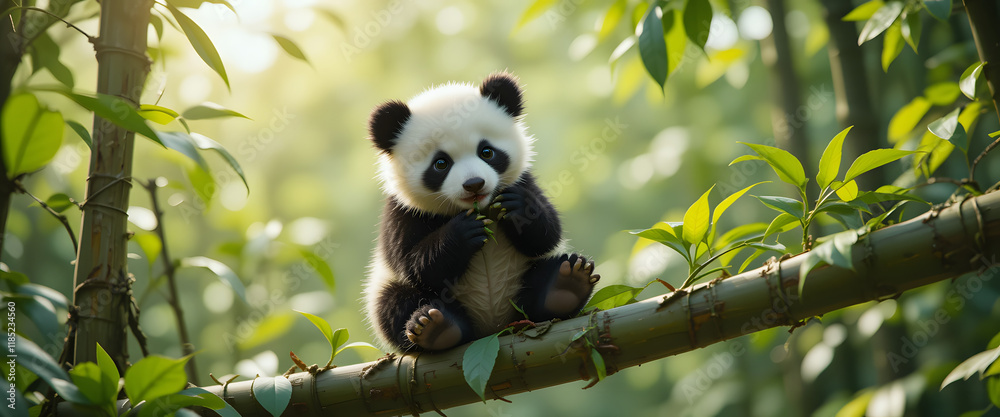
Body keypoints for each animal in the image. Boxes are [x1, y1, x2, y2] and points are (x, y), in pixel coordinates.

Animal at [363, 72, 600, 352]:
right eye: (441, 163)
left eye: (486, 151)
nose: (474, 184)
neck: (477, 207)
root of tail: (492, 328)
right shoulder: (403, 212)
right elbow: (414, 265)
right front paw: (463, 232)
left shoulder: (524, 182)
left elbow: (547, 234)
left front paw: (515, 207)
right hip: (392, 290)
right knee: (395, 303)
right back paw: (435, 327)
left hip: (523, 282)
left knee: (550, 273)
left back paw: (567, 284)